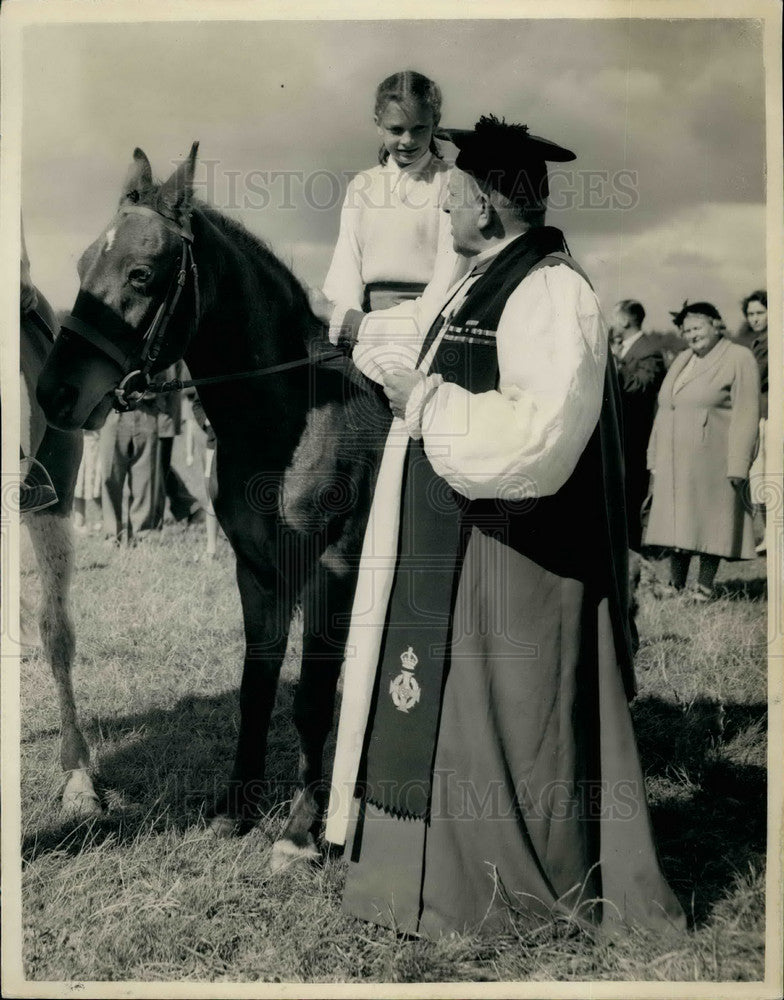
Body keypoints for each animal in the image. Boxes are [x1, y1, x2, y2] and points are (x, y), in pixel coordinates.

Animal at [36, 143, 388, 868]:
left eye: (141, 274)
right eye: (83, 265)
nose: (53, 394)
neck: (290, 423)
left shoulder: (333, 572)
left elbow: (313, 700)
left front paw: (300, 832)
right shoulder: (257, 572)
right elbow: (257, 688)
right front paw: (236, 807)